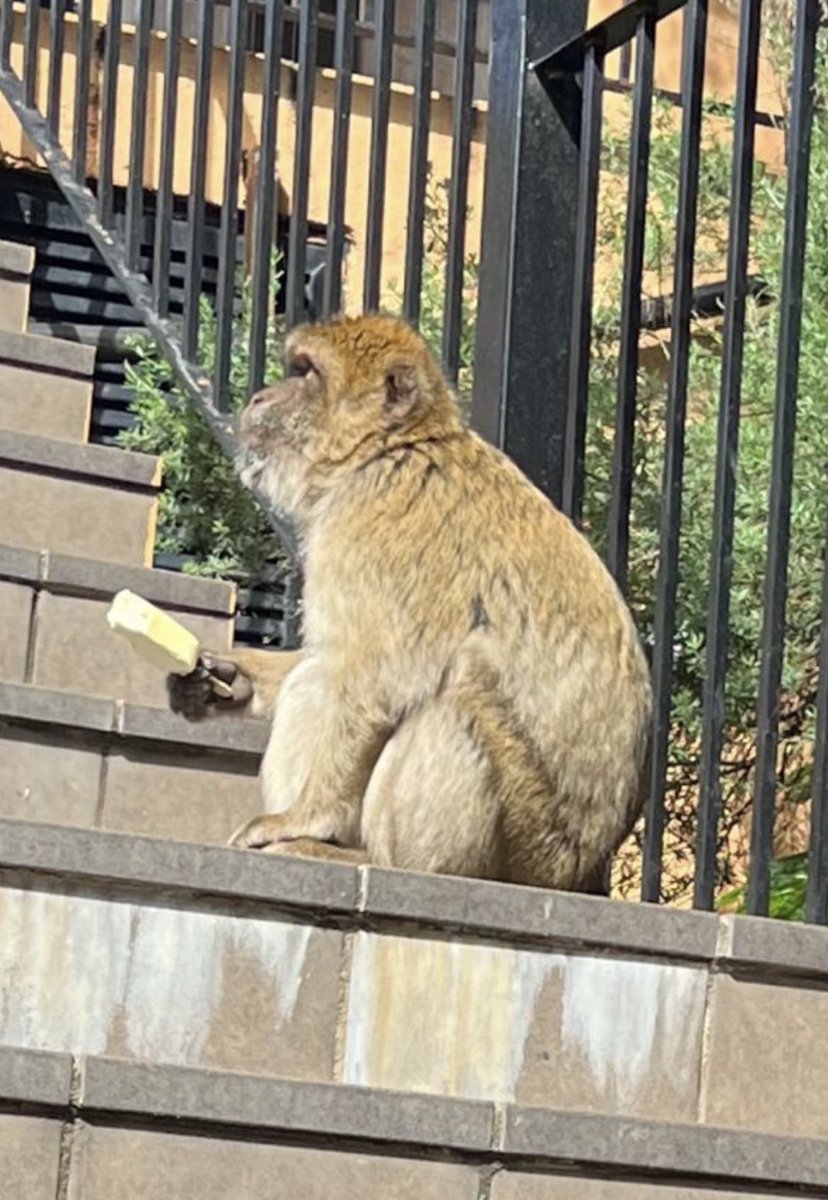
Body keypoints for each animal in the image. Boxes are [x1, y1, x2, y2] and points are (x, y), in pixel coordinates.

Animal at [164, 312, 648, 892]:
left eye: (305, 374)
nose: (260, 397)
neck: (390, 451)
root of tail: (571, 874)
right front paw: (225, 680)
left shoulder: (369, 523)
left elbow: (372, 681)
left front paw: (305, 818)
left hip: (526, 847)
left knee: (459, 682)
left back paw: (374, 858)